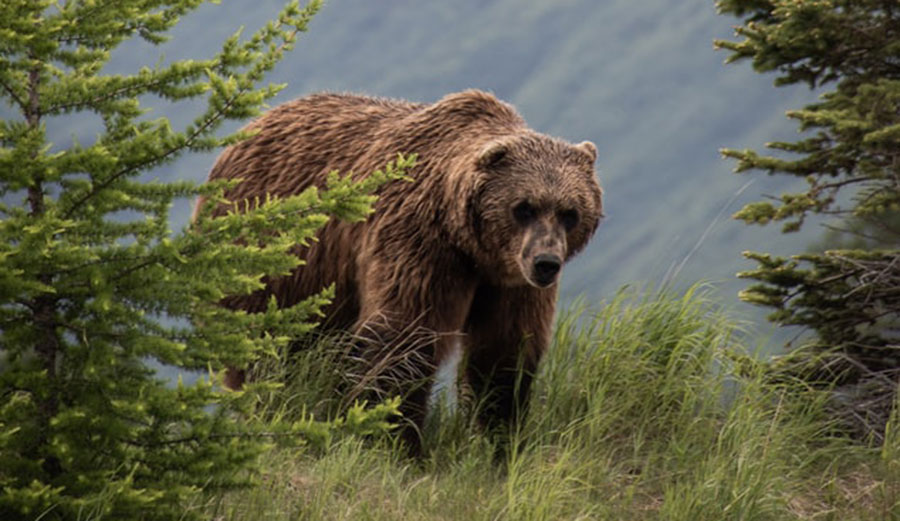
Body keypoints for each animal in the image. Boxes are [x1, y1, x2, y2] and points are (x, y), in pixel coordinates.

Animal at [194, 89, 604, 446]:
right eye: (524, 207)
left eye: (569, 212)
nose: (546, 263)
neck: (470, 245)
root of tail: (247, 130)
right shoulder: (419, 243)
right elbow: (402, 336)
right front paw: (395, 439)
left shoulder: (509, 283)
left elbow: (503, 352)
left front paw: (496, 438)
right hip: (269, 258)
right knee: (265, 346)